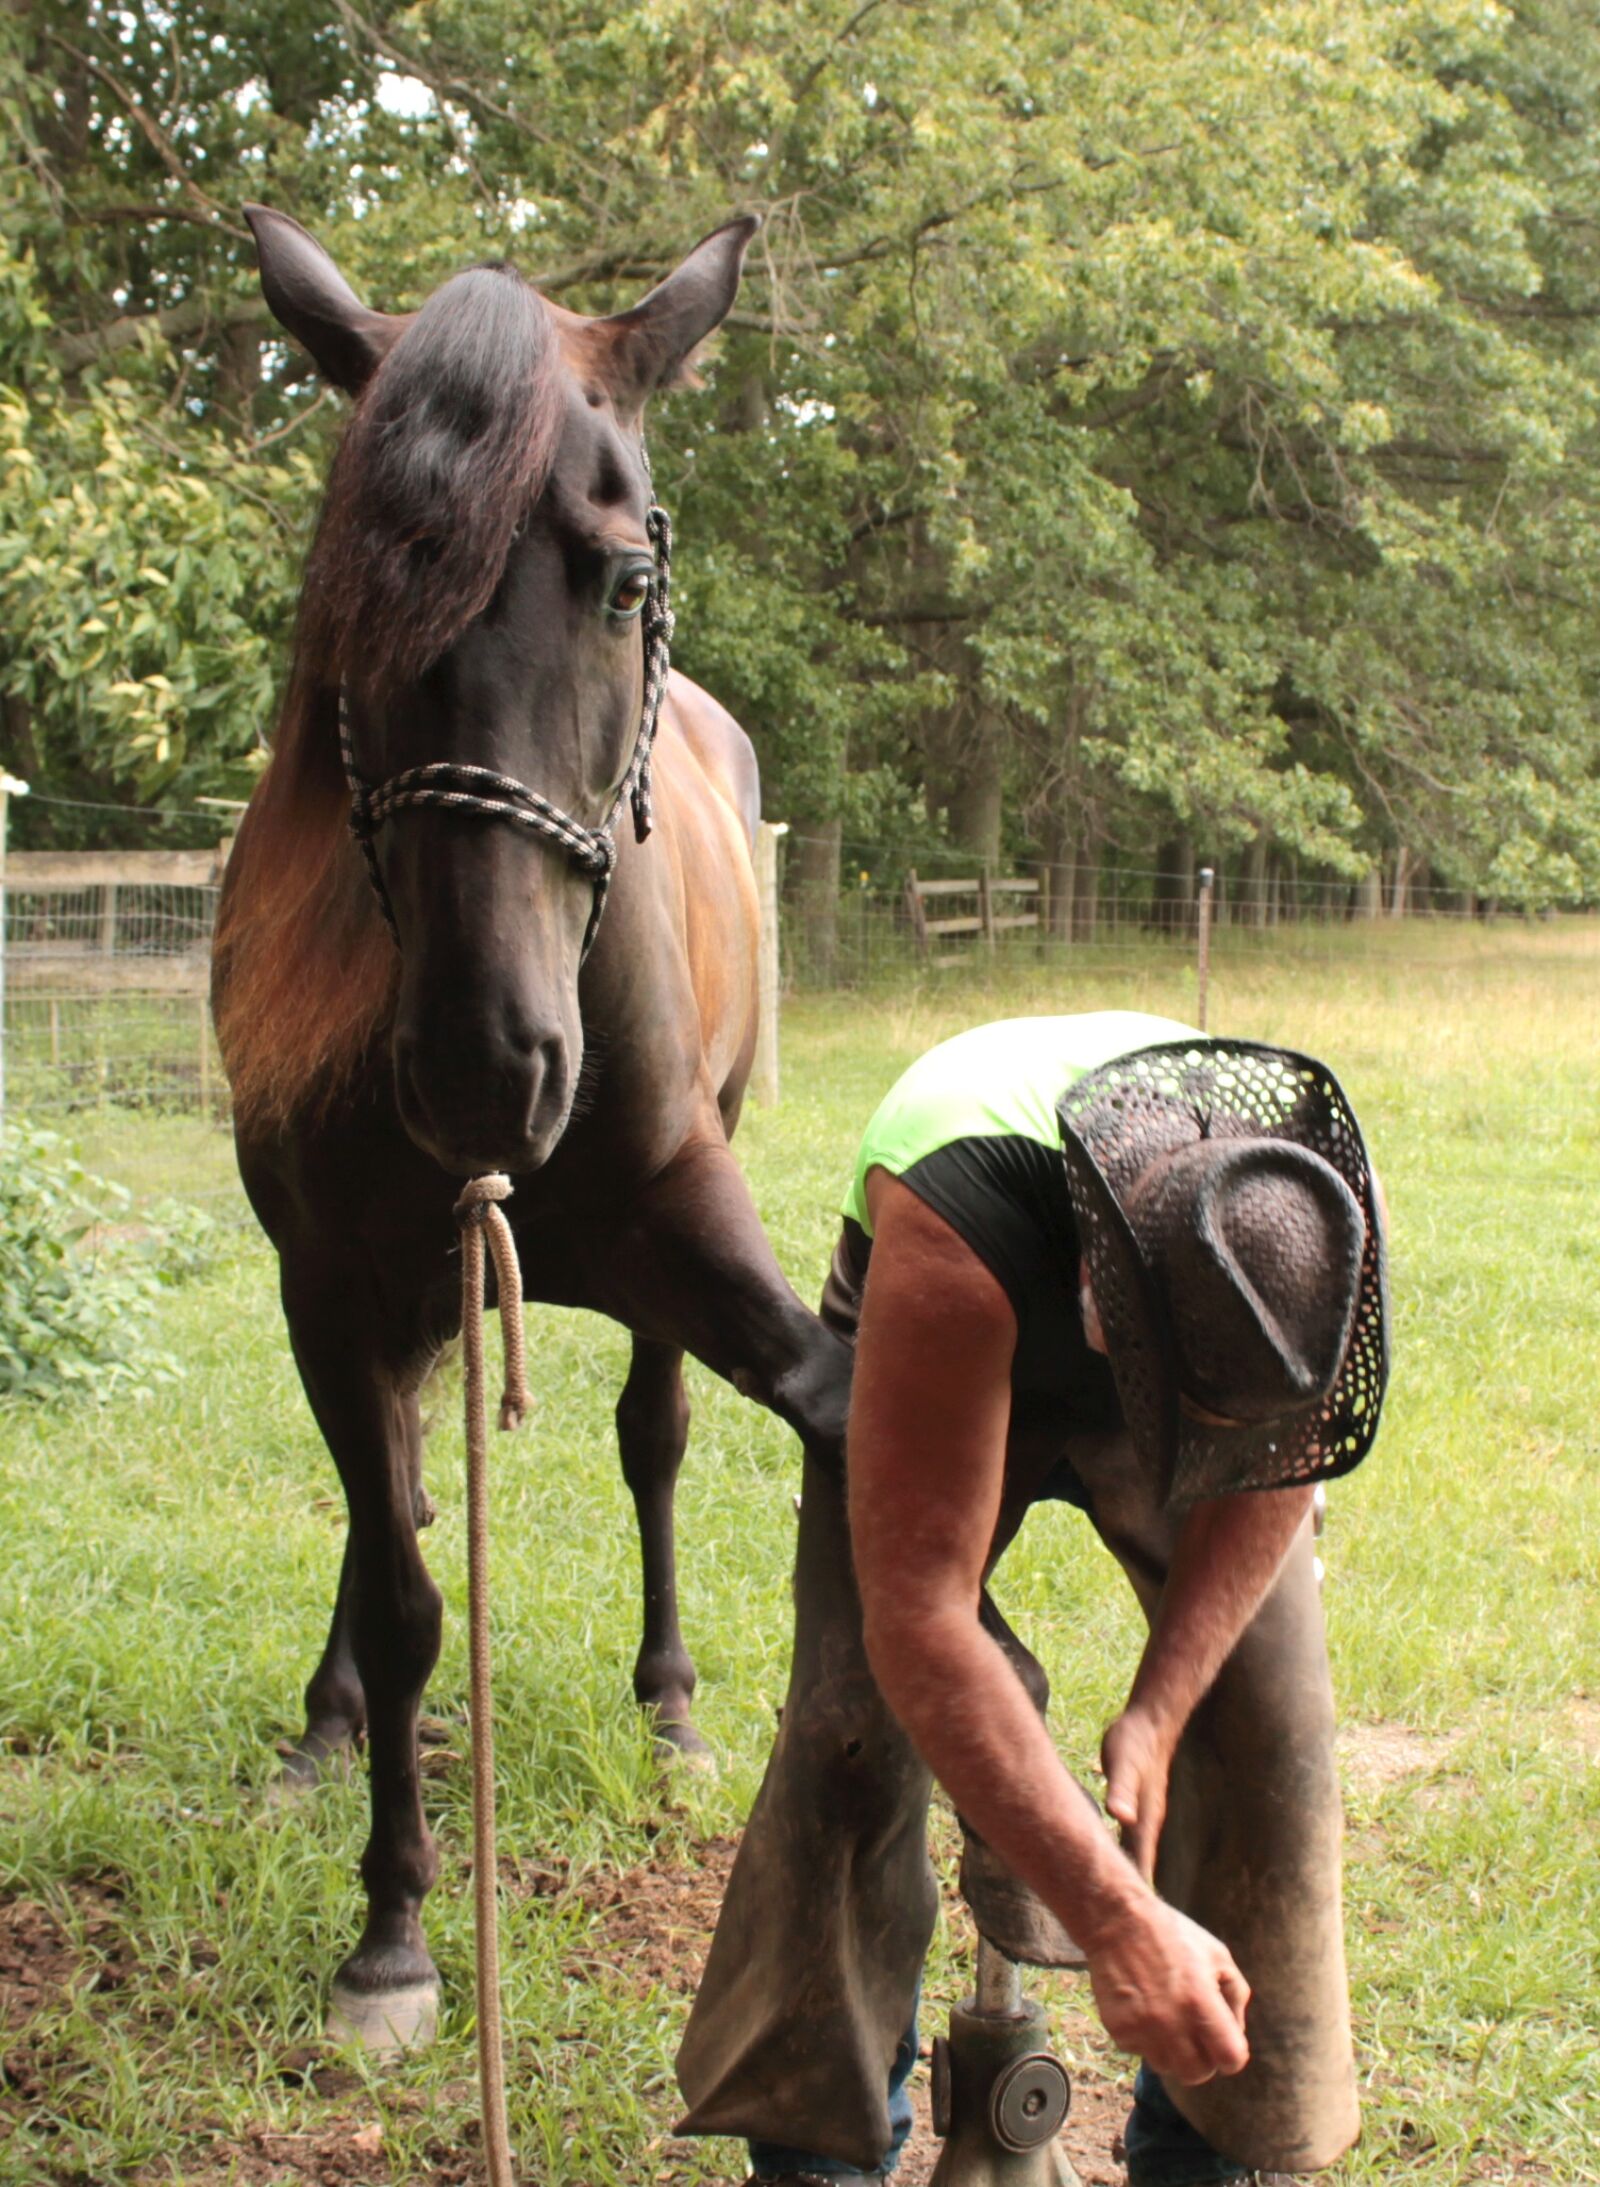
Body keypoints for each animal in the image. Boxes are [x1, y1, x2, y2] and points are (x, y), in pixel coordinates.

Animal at [218, 205, 856, 2047]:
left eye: (623, 580)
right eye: (350, 594)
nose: (485, 1068)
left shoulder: (692, 1229)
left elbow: (816, 1416)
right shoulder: (331, 1285)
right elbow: (409, 1585)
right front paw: (391, 1928)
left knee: (650, 1439)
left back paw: (671, 1700)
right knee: (400, 1511)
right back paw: (329, 1720)